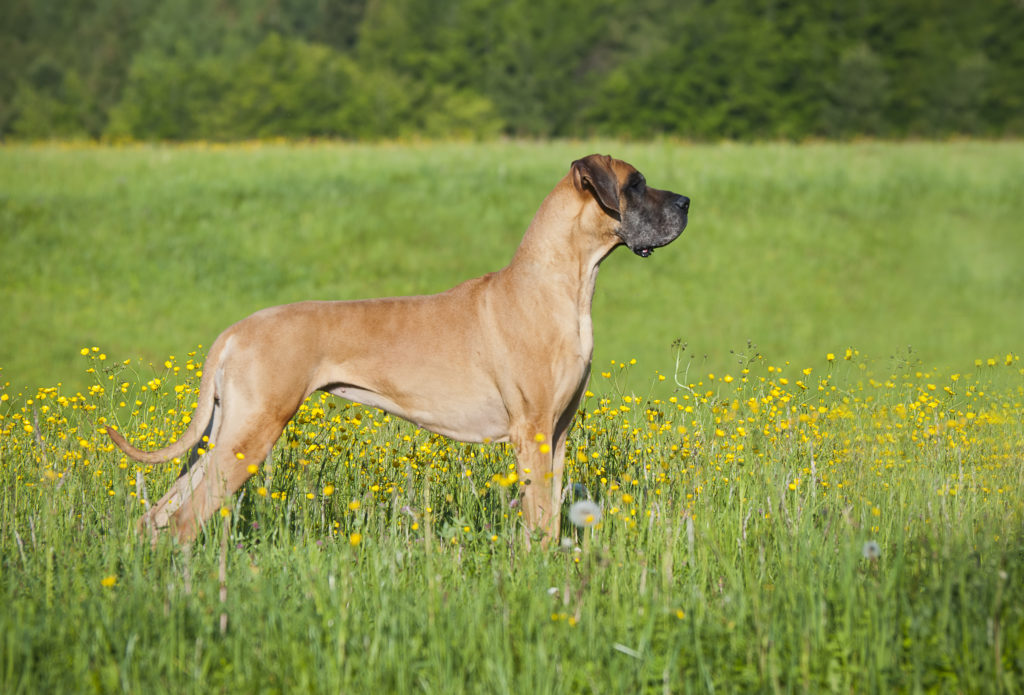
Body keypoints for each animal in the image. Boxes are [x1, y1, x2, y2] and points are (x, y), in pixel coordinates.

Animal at [108, 154, 688, 544]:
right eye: (635, 184)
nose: (686, 202)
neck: (562, 282)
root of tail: (233, 332)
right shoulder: (533, 432)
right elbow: (540, 517)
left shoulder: (559, 433)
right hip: (251, 434)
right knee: (185, 520)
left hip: (221, 434)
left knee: (157, 515)